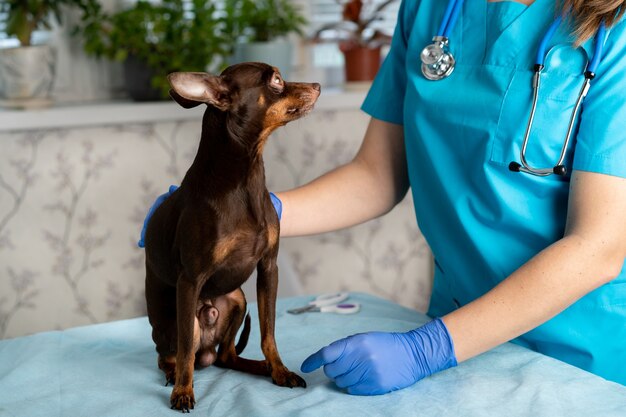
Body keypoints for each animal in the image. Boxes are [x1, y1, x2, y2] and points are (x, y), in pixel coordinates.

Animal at [141, 61, 316, 410]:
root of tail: (207, 350)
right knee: (171, 354)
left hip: (237, 299)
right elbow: (185, 351)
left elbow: (268, 333)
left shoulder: (268, 268)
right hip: (175, 320)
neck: (245, 178)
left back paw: (259, 367)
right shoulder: (189, 280)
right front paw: (183, 391)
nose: (317, 85)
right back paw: (173, 374)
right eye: (277, 80)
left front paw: (279, 370)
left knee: (227, 357)